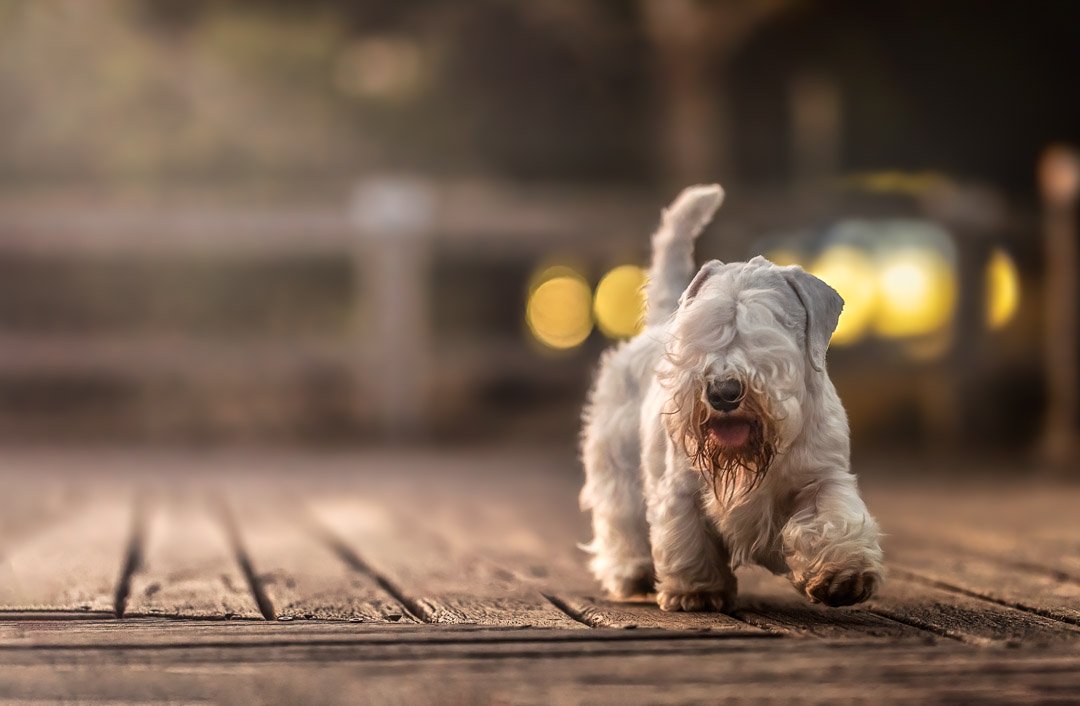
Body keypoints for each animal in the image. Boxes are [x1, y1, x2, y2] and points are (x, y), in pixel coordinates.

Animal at [587, 185, 881, 613]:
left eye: (771, 325)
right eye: (698, 328)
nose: (723, 391)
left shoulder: (822, 476)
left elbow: (832, 516)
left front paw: (844, 576)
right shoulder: (681, 488)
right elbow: (685, 537)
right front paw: (696, 590)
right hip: (617, 464)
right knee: (620, 519)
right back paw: (634, 571)